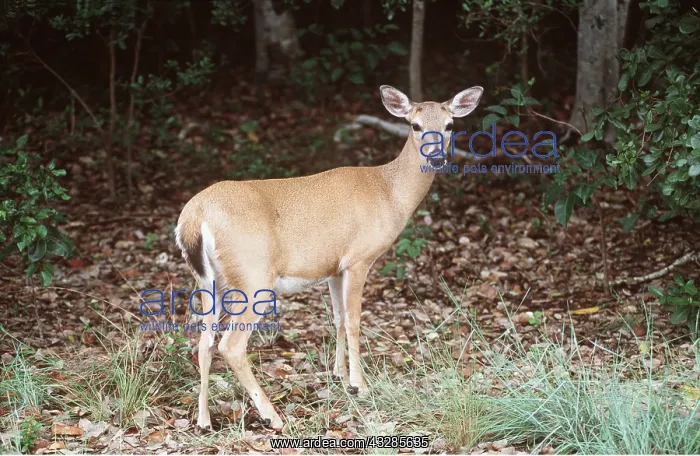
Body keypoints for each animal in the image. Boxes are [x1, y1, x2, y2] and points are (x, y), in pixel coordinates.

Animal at [175, 84, 484, 430]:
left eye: (449, 125)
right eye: (415, 125)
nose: (437, 156)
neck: (390, 193)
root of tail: (193, 217)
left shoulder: (335, 268)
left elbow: (336, 318)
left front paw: (338, 374)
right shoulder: (359, 259)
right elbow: (354, 321)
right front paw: (359, 385)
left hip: (208, 280)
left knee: (203, 341)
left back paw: (204, 419)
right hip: (253, 277)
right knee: (230, 345)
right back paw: (273, 416)